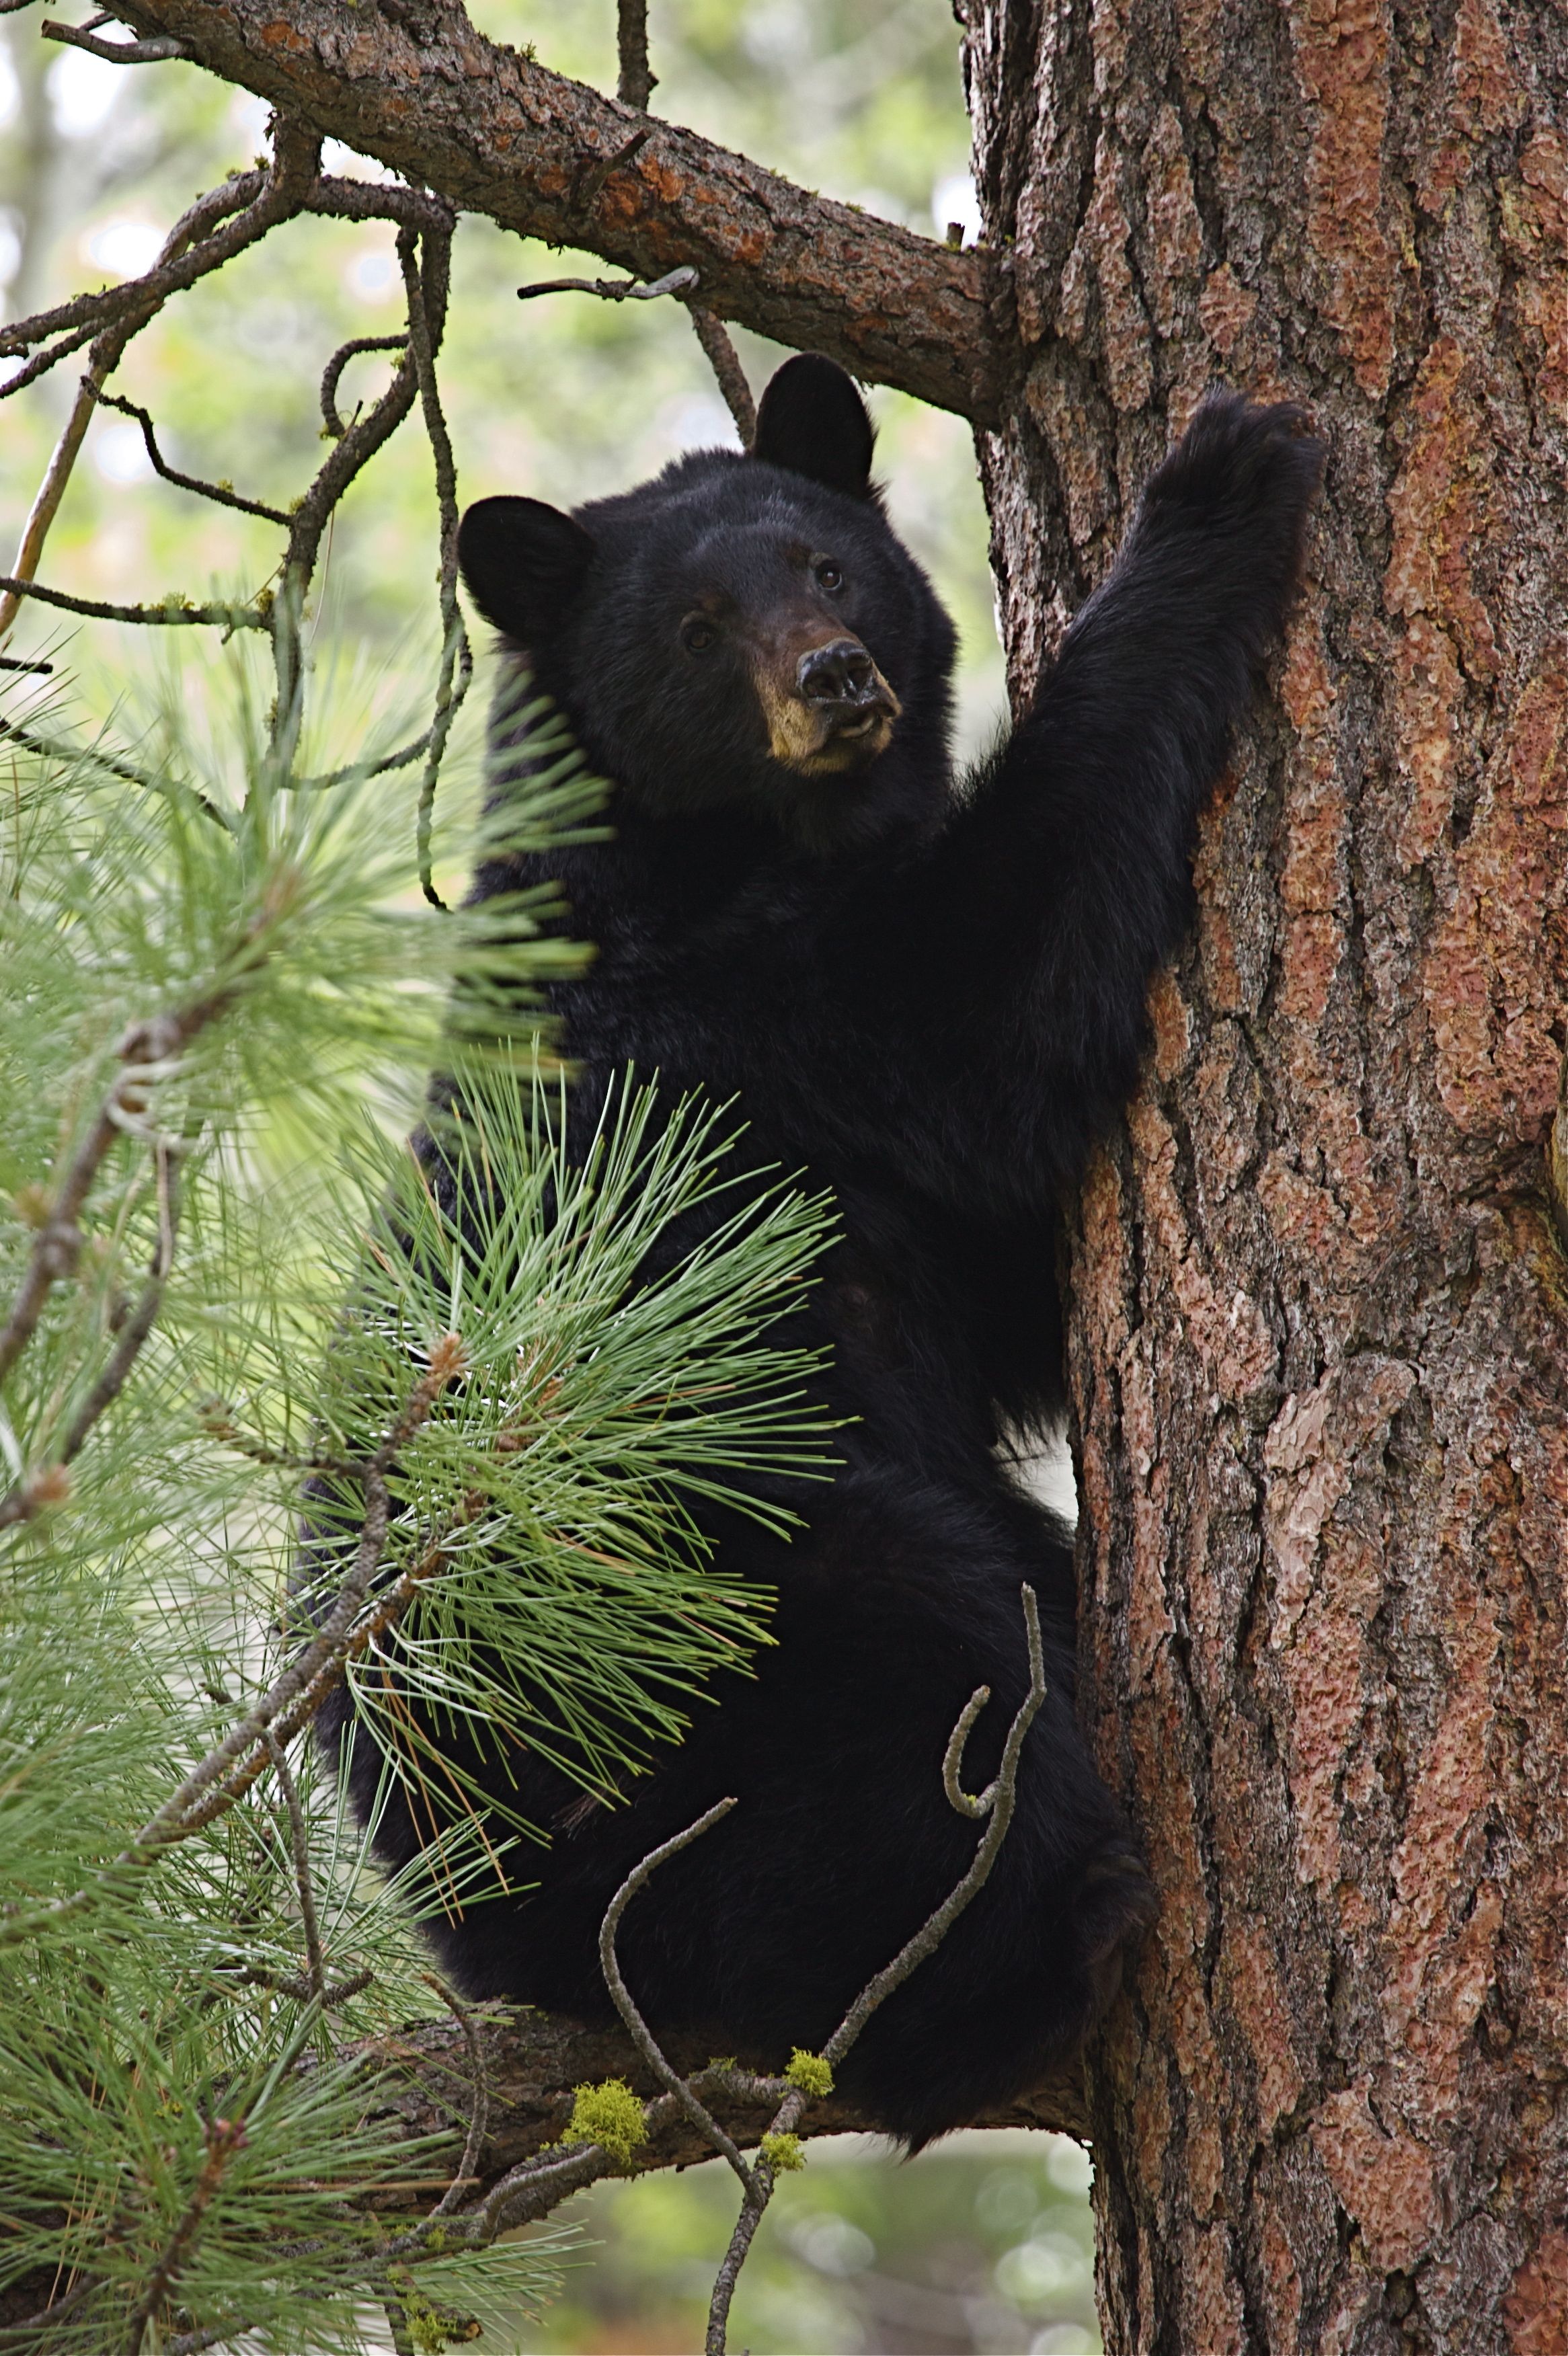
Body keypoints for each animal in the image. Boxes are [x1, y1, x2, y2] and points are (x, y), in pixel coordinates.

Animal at [329, 358, 1318, 2148]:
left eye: (826, 565)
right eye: (696, 625)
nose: (833, 674)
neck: (730, 846)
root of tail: (483, 1926)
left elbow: (1004, 1289)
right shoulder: (752, 1010)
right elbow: (999, 984)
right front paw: (1215, 485)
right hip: (705, 1633)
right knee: (905, 1679)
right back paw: (1042, 1948)